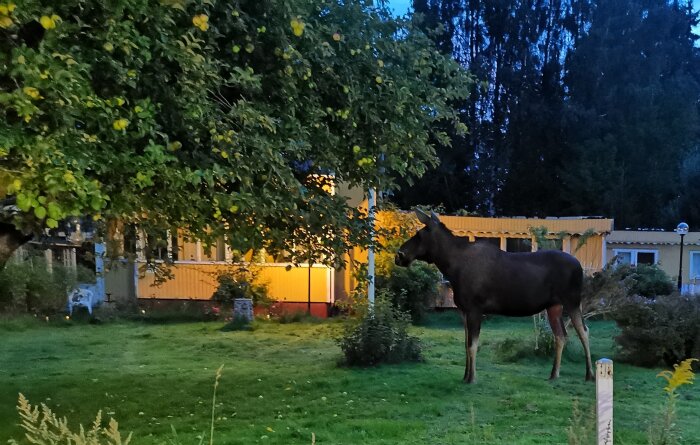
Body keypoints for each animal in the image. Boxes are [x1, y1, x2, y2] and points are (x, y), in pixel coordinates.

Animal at [394, 210, 592, 384]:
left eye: (419, 234)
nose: (399, 255)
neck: (451, 268)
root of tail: (579, 266)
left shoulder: (475, 308)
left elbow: (472, 345)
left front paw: (472, 378)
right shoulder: (463, 310)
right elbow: (466, 344)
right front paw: (465, 376)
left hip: (572, 301)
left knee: (583, 331)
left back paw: (589, 374)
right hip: (553, 306)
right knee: (561, 335)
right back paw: (553, 374)